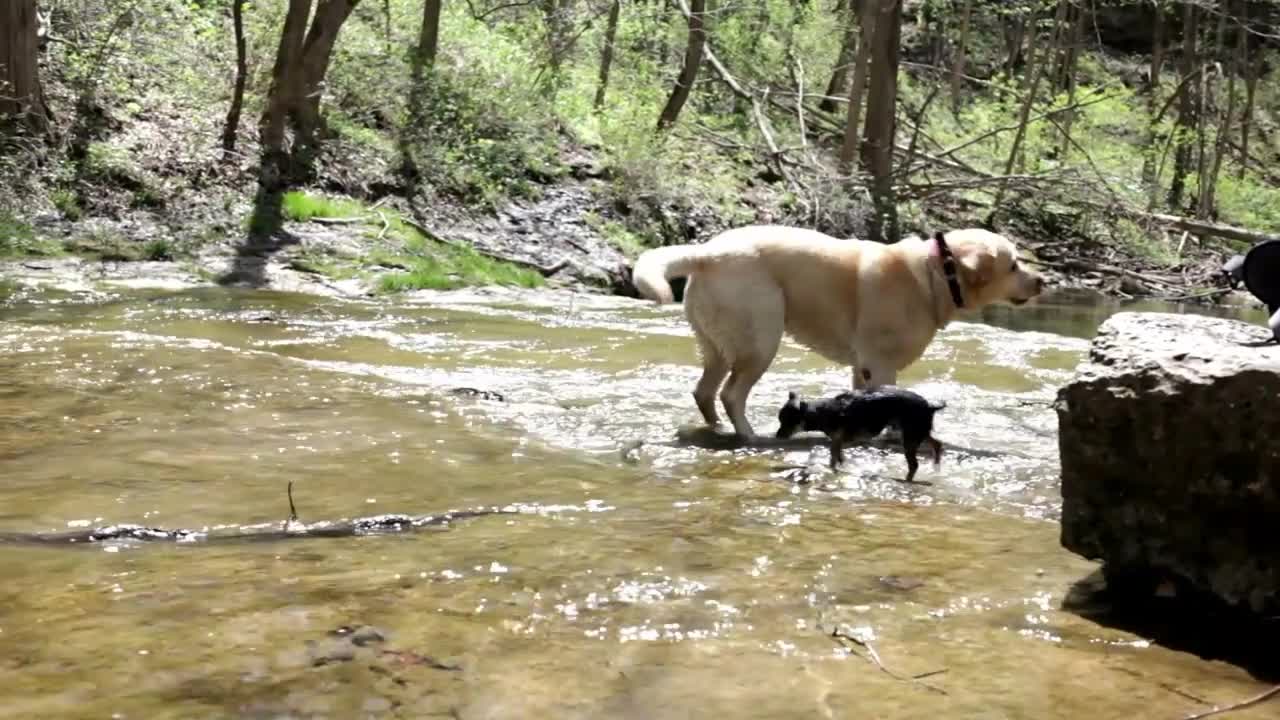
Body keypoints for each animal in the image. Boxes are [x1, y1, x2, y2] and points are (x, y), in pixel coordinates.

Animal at [634, 226, 1044, 435]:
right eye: (1013, 265)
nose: (1042, 281)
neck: (936, 275)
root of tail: (705, 253)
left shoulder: (862, 369)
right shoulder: (881, 365)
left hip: (717, 346)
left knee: (704, 392)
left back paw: (718, 429)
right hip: (761, 342)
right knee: (731, 395)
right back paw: (751, 436)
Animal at [773, 384, 947, 479]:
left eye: (787, 422)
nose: (777, 436)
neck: (821, 412)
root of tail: (930, 406)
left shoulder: (836, 441)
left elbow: (832, 459)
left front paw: (832, 470)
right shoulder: (837, 441)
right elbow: (840, 458)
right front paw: (842, 467)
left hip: (910, 436)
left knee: (914, 465)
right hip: (918, 432)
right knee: (937, 444)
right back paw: (936, 467)